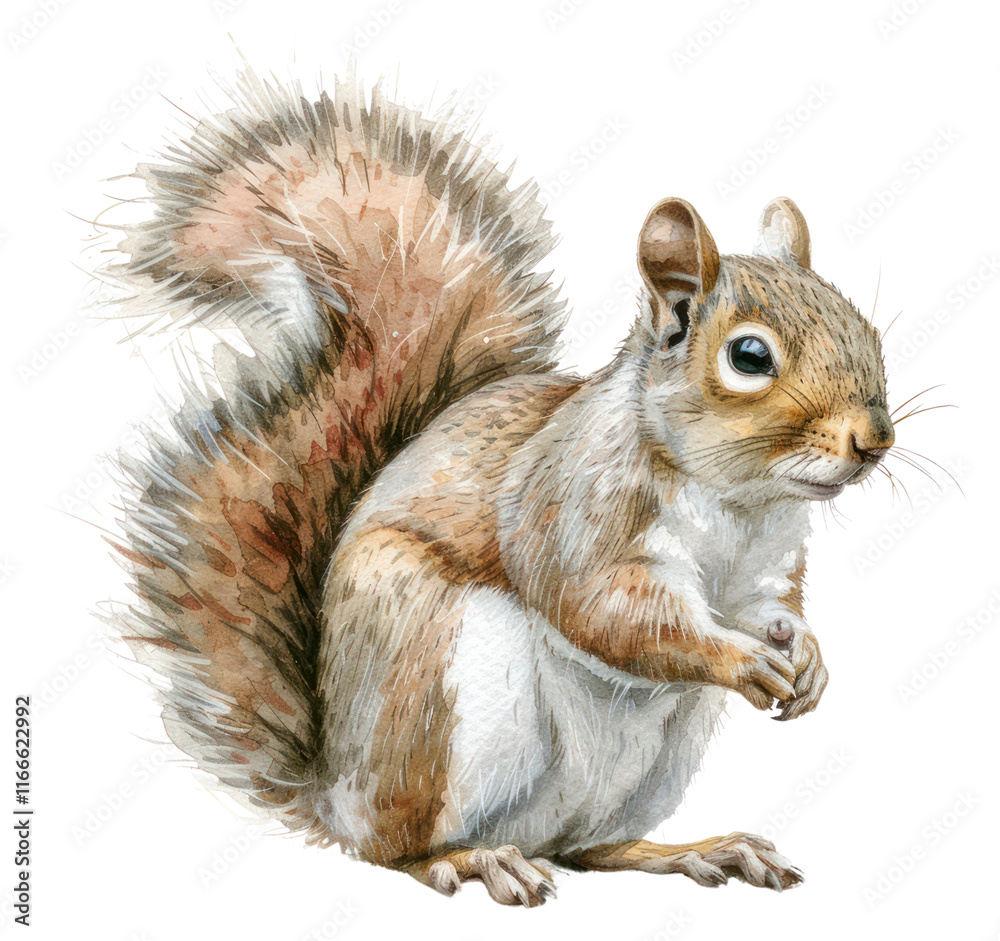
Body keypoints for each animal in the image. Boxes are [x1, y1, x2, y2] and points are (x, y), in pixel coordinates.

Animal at [103, 68, 895, 907]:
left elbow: (768, 609)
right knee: (400, 849)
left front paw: (808, 659)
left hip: (654, 763)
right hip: (441, 690)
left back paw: (696, 848)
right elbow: (607, 610)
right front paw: (743, 661)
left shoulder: (763, 565)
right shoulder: (575, 506)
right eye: (749, 356)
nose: (875, 439)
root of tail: (334, 791)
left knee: (589, 847)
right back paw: (473, 859)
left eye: (867, 329)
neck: (738, 500)